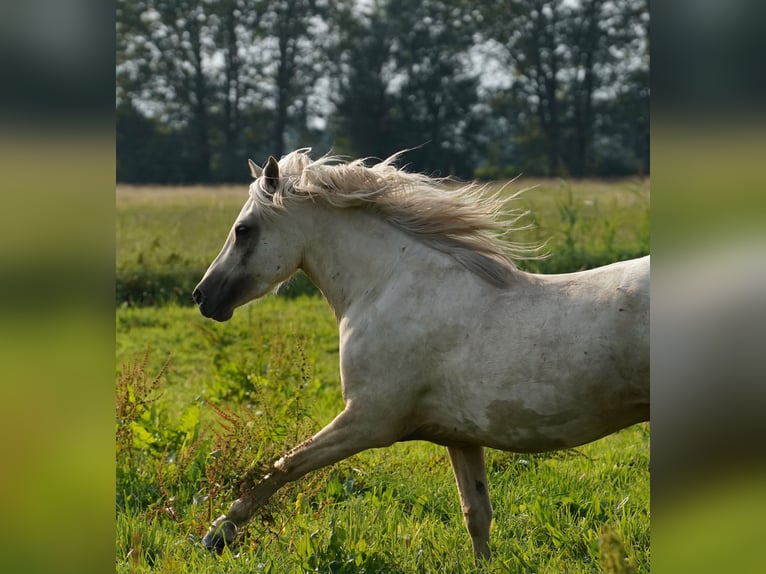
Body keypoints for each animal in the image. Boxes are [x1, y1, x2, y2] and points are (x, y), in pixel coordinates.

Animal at [195, 150, 652, 564]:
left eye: (243, 230)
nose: (203, 296)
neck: (386, 286)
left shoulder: (368, 422)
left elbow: (283, 465)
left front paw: (218, 534)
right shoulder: (460, 437)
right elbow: (476, 514)